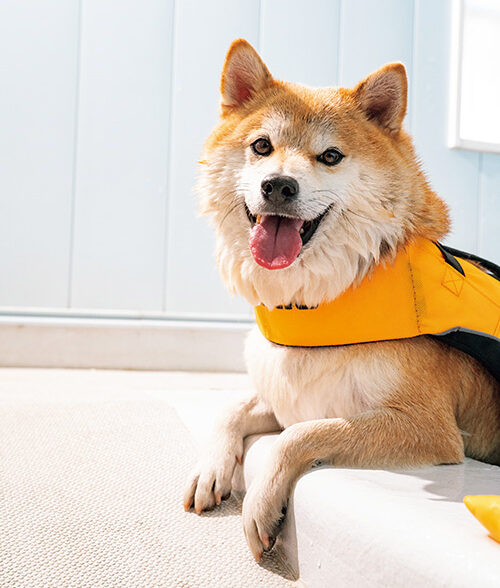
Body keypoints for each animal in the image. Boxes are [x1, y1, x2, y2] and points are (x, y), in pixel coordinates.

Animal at [183, 39, 500, 561]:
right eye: (262, 146)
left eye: (330, 155)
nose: (278, 185)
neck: (319, 303)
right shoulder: (284, 394)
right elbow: (231, 409)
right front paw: (210, 469)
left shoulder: (428, 426)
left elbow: (301, 433)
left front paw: (261, 505)